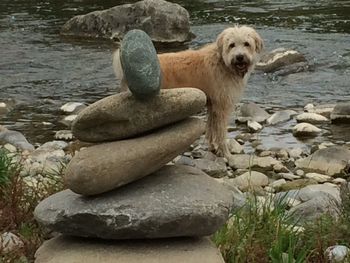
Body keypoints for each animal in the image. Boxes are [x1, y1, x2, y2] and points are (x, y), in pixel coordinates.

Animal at [113, 25, 264, 160]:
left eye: (246, 44)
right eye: (232, 45)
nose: (240, 57)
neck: (223, 62)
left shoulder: (213, 104)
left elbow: (211, 128)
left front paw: (213, 148)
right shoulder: (222, 106)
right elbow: (220, 132)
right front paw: (226, 154)